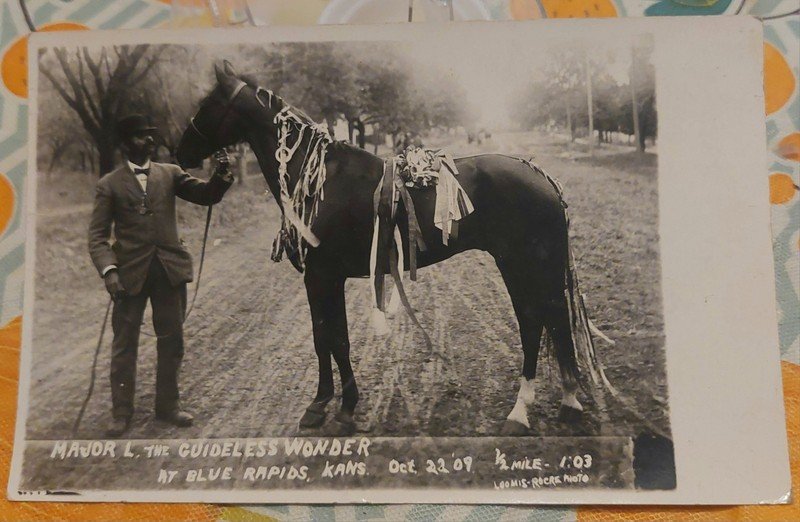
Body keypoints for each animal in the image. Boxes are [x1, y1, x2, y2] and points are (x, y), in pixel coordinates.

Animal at [176, 62, 599, 436]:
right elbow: (326, 337)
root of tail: (542, 178)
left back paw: (522, 410)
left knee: (534, 322)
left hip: (519, 264)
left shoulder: (322, 276)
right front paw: (327, 404)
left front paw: (337, 409)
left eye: (207, 103)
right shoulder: (325, 279)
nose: (180, 152)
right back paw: (566, 401)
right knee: (551, 321)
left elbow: (333, 340)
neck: (317, 178)